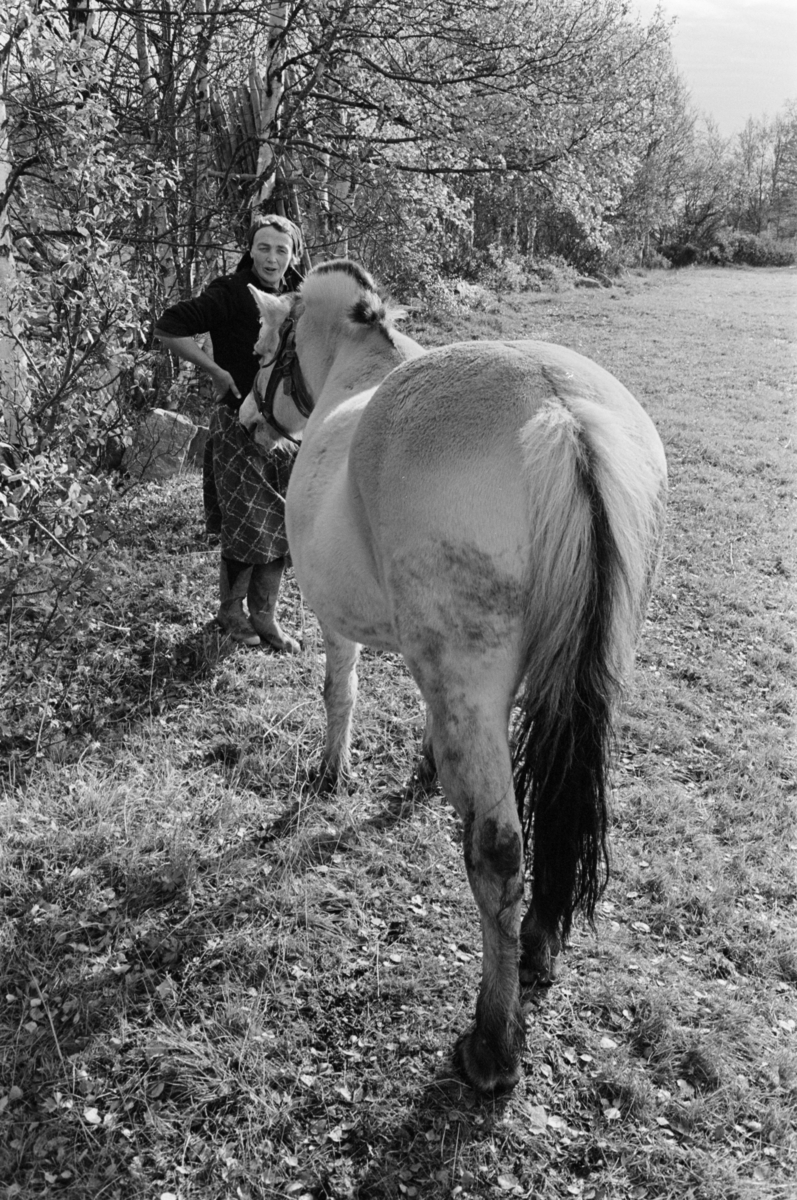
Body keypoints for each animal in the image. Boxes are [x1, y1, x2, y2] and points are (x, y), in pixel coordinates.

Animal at [237, 265, 667, 1099]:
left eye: (264, 347)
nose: (245, 422)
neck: (359, 370)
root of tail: (559, 413)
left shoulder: (341, 624)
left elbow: (340, 693)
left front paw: (333, 773)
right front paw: (427, 765)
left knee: (497, 851)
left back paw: (492, 1044)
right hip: (576, 679)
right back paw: (537, 944)